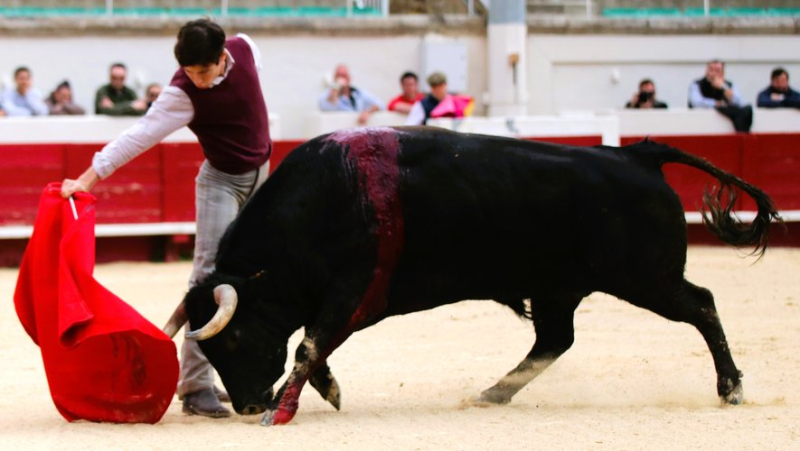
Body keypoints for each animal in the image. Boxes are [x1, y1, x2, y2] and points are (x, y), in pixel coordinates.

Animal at [164, 125, 780, 426]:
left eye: (234, 339)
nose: (246, 405)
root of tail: (637, 155)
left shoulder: (356, 290)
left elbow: (310, 344)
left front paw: (283, 411)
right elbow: (315, 347)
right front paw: (326, 391)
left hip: (646, 277)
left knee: (702, 304)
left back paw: (731, 389)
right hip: (559, 288)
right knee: (555, 339)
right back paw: (492, 393)